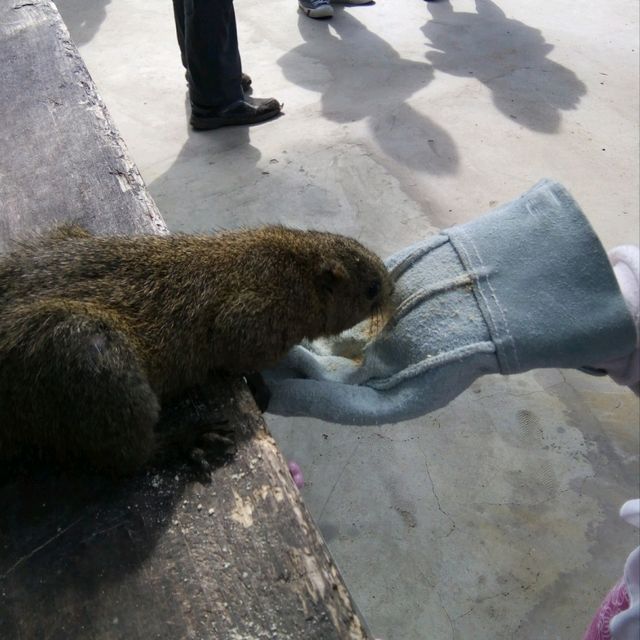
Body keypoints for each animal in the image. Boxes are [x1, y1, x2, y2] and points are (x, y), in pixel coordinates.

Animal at [0, 225, 392, 476]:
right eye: (372, 288)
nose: (391, 291)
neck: (296, 268)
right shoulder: (250, 319)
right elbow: (236, 357)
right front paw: (258, 386)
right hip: (84, 353)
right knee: (129, 458)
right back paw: (186, 440)